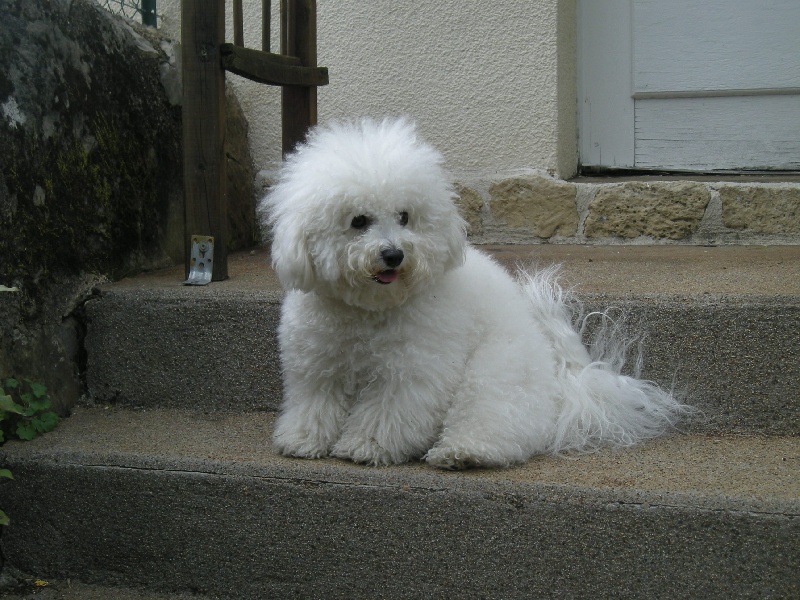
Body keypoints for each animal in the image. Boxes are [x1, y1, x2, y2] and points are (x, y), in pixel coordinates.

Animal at [260, 119, 684, 472]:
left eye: (404, 216)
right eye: (359, 221)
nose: (394, 255)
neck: (369, 311)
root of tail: (565, 382)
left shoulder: (410, 373)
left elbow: (386, 413)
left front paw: (366, 446)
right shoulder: (318, 366)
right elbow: (315, 405)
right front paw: (302, 440)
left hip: (493, 372)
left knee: (496, 421)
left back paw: (462, 452)